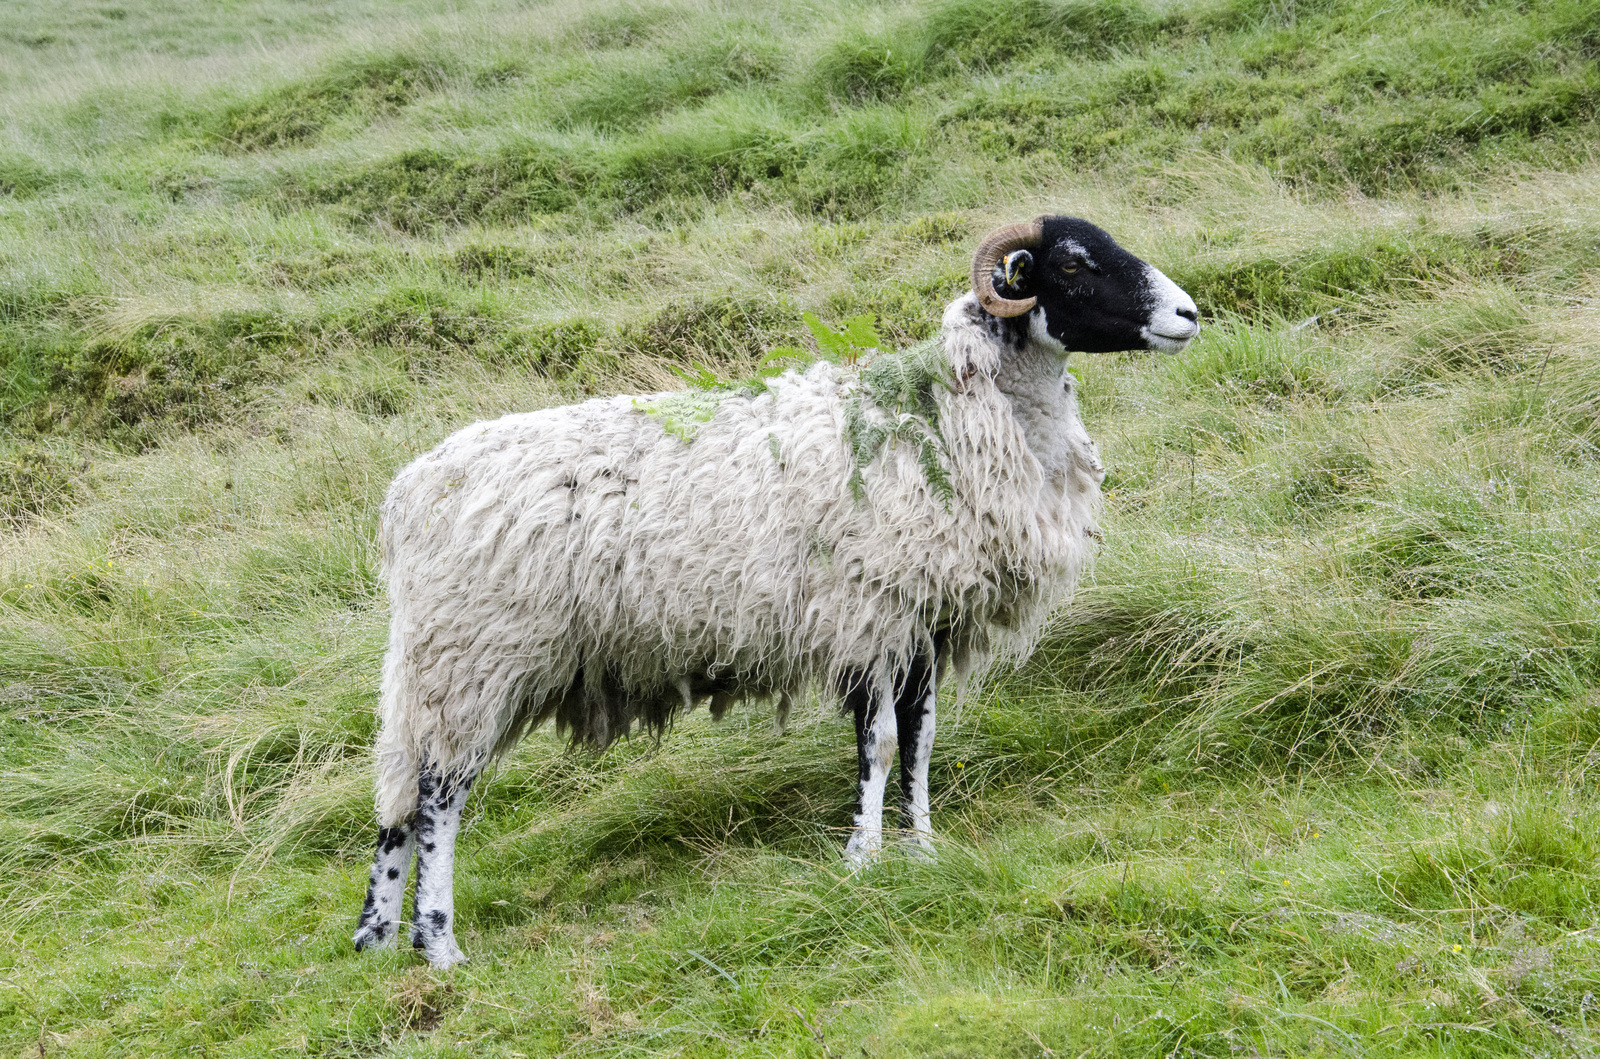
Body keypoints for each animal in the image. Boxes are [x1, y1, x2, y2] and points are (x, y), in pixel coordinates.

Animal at [353, 217, 1203, 972]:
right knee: (437, 797)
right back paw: (438, 943)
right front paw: (864, 858)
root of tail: (409, 493)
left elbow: (922, 741)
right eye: (1073, 263)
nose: (1190, 315)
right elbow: (879, 743)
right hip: (473, 656)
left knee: (399, 798)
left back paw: (376, 937)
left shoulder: (922, 620)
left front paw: (923, 848)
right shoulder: (869, 613)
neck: (952, 413)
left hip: (437, 666)